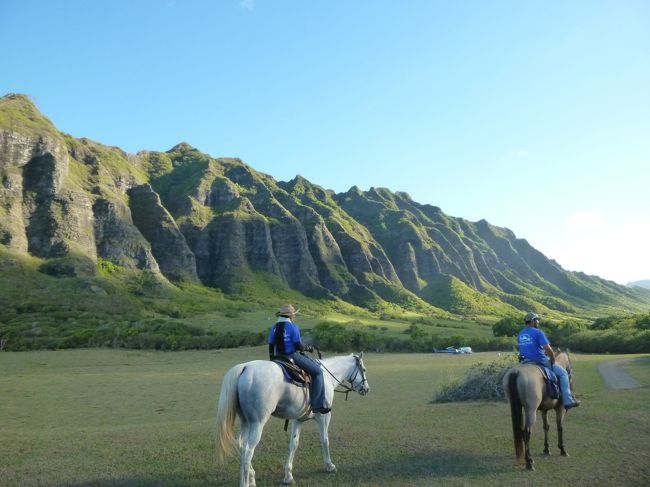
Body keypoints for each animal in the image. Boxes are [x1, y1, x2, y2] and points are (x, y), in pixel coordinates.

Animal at [215, 352, 368, 486]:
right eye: (364, 369)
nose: (366, 389)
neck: (327, 377)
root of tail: (245, 367)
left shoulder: (298, 419)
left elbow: (294, 444)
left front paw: (288, 476)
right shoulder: (324, 417)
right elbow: (325, 440)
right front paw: (329, 466)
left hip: (246, 422)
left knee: (241, 445)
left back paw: (252, 477)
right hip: (257, 423)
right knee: (248, 450)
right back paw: (246, 482)